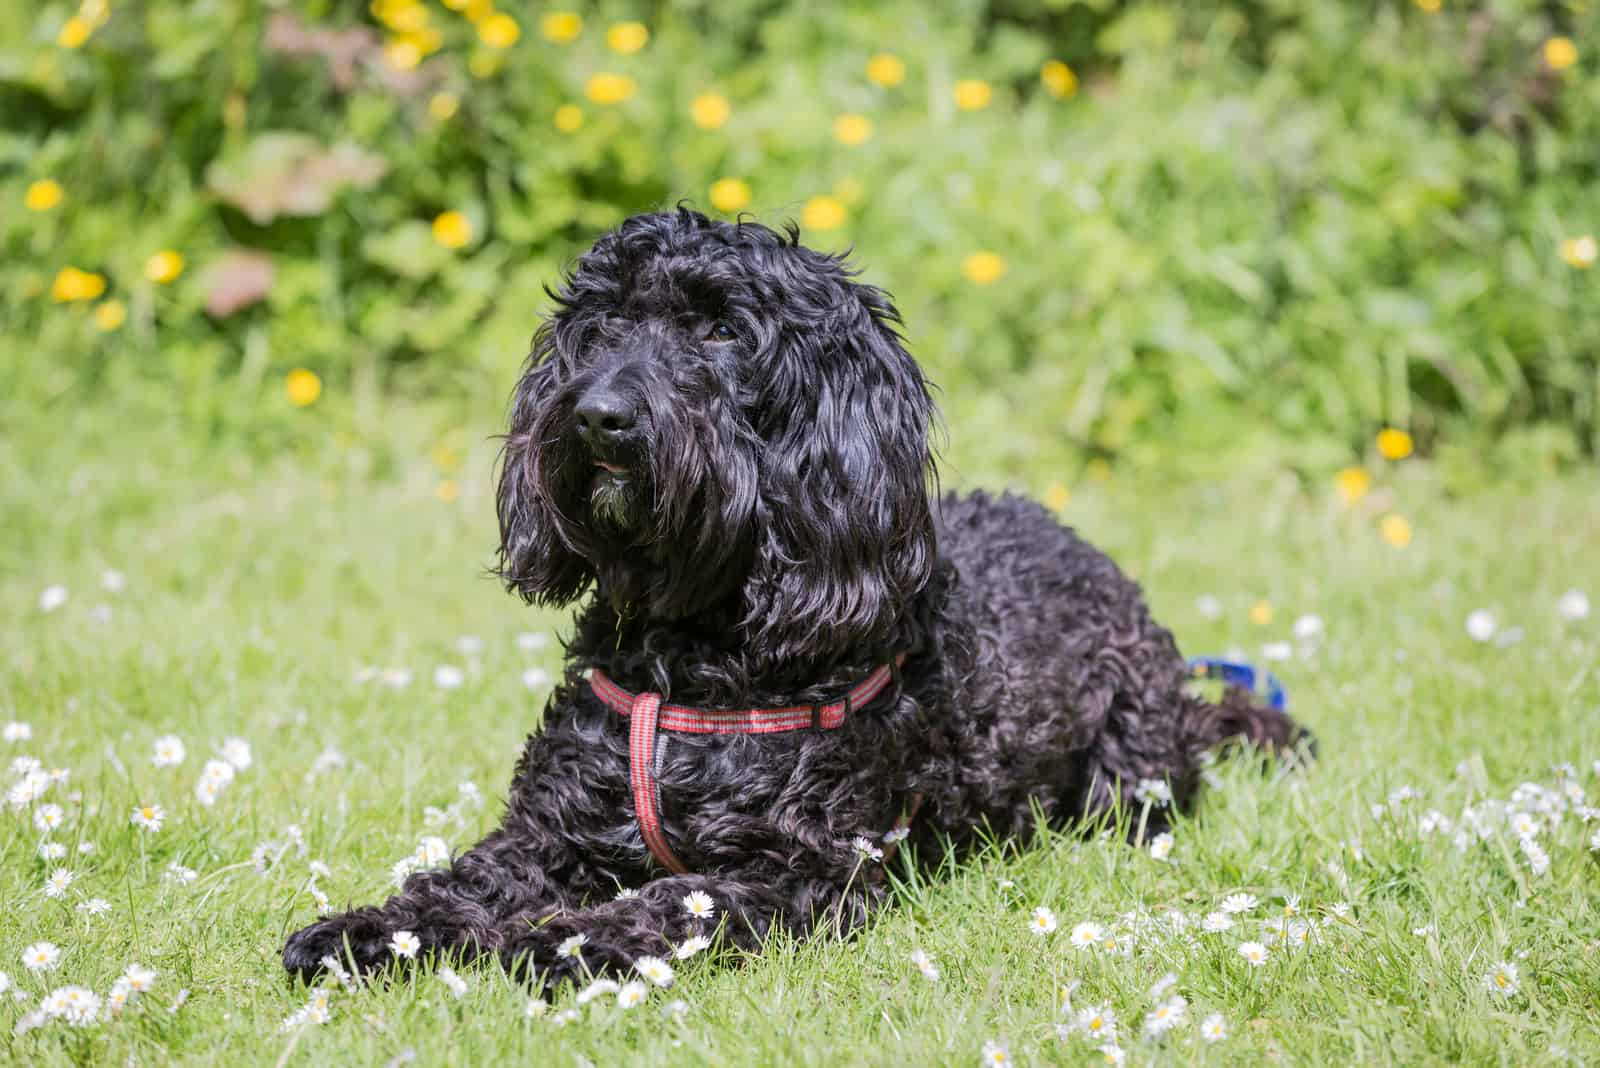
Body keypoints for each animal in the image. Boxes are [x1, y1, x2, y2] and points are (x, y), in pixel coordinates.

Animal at [281, 211, 1305, 991]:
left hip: (1127, 778)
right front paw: (365, 932)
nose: (598, 415)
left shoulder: (797, 869)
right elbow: (458, 884)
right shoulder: (548, 833)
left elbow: (670, 900)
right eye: (603, 328)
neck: (690, 649)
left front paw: (574, 938)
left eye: (723, 332)